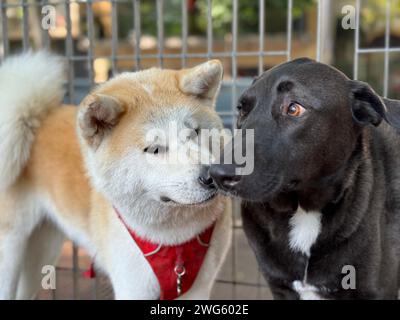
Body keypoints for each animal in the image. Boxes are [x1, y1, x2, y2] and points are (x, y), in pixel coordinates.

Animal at [0, 52, 231, 300]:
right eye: (154, 149)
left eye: (195, 132)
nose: (210, 177)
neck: (173, 241)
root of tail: (34, 118)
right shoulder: (133, 288)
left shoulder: (199, 289)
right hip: (10, 253)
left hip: (42, 252)